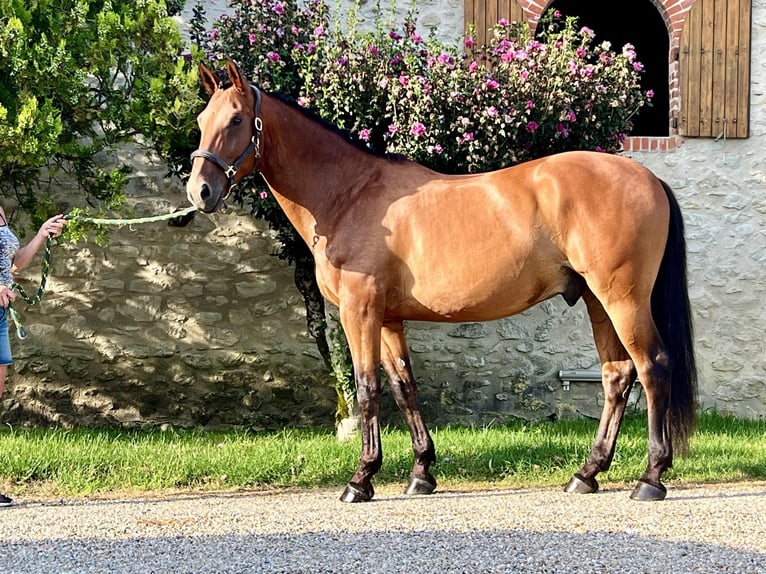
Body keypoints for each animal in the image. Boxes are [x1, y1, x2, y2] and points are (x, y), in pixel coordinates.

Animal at [189, 62, 700, 504]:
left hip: (623, 299)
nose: (200, 191)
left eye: (236, 119)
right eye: (201, 119)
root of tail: (647, 176)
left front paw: (361, 479)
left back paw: (650, 478)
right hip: (597, 300)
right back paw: (587, 473)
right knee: (617, 375)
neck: (349, 194)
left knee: (652, 367)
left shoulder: (359, 311)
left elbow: (367, 388)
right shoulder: (388, 318)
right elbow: (403, 387)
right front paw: (420, 473)